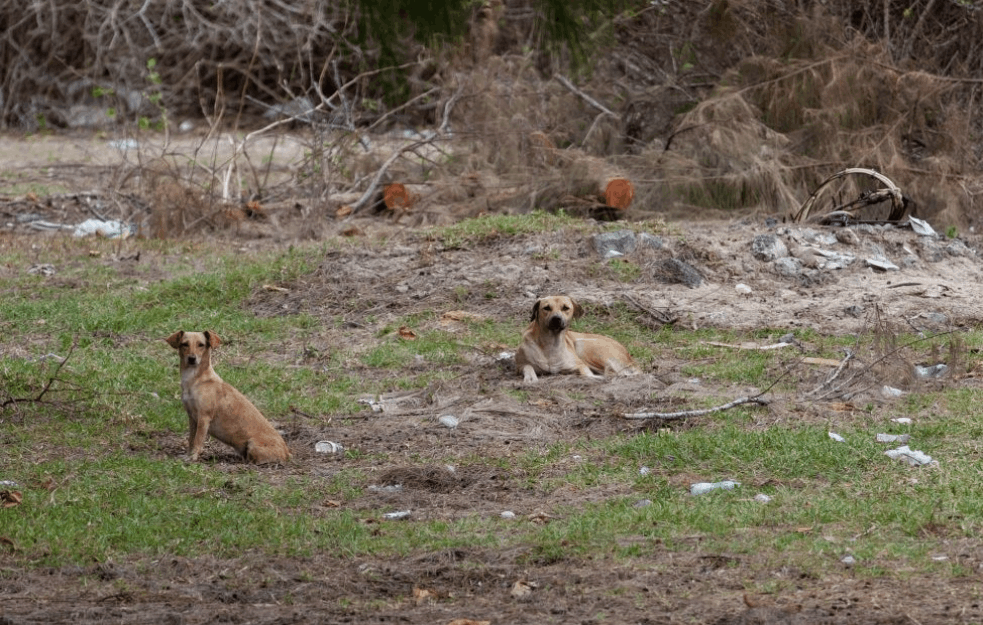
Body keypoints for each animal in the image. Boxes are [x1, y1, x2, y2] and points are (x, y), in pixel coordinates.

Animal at [163, 332, 288, 464]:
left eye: (201, 345)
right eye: (184, 344)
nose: (192, 358)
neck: (196, 380)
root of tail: (287, 453)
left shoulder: (204, 417)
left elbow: (198, 440)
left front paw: (193, 457)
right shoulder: (192, 417)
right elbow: (191, 440)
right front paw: (188, 454)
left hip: (253, 445)